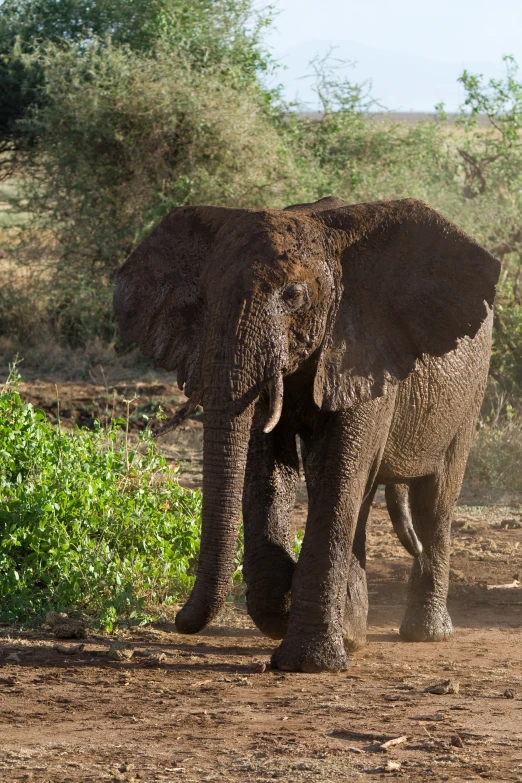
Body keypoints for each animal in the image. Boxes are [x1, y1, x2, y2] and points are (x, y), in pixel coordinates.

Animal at [112, 196, 496, 672]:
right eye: (202, 299)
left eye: (294, 297)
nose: (180, 621)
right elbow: (267, 469)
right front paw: (283, 607)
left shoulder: (360, 349)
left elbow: (333, 473)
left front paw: (308, 662)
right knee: (365, 501)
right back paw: (353, 634)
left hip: (469, 395)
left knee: (434, 500)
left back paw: (425, 634)